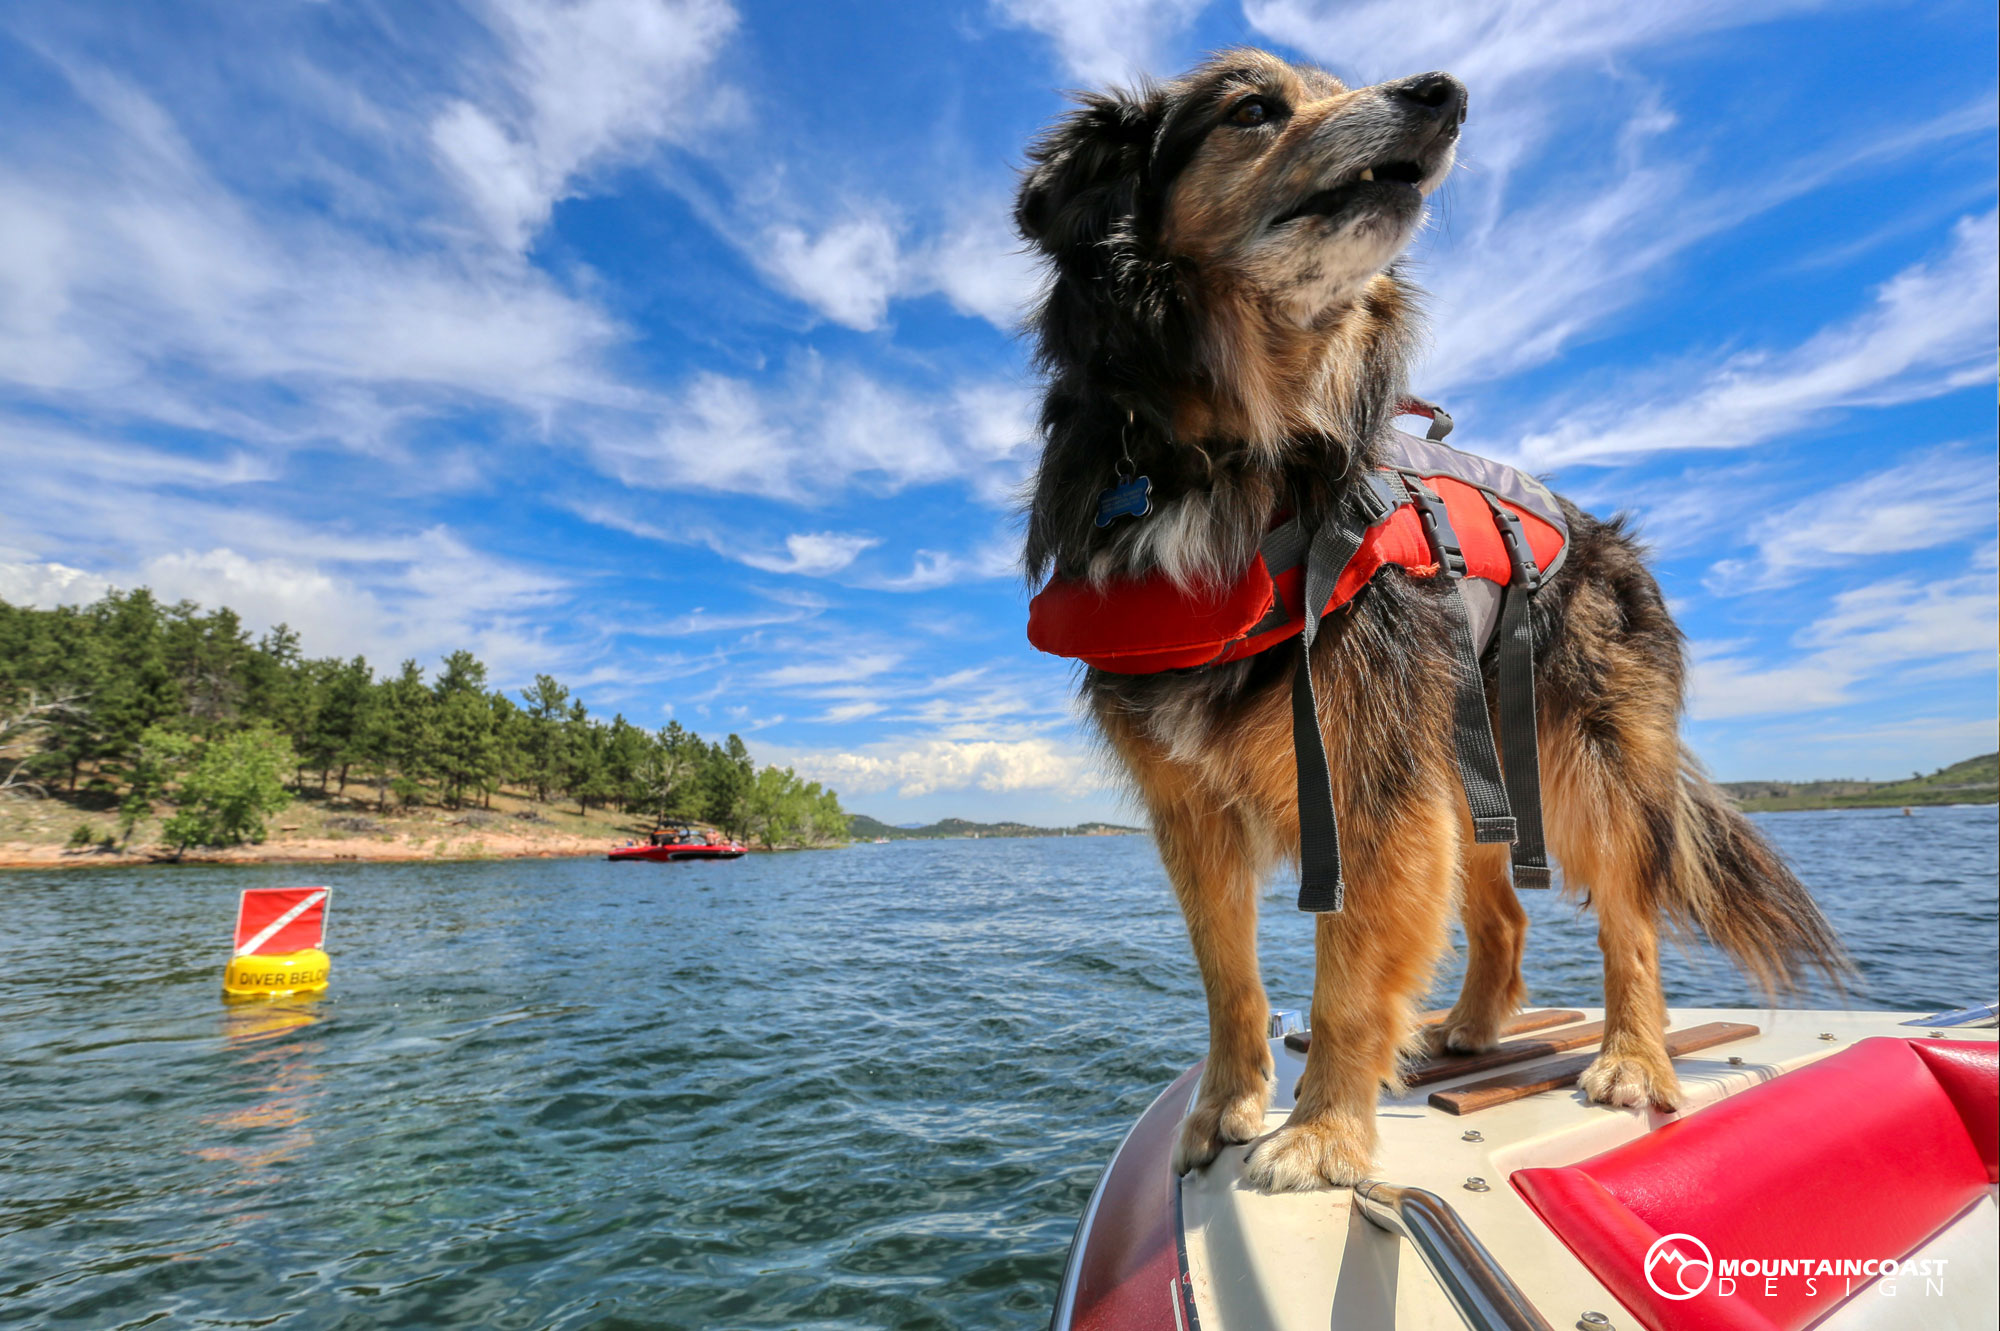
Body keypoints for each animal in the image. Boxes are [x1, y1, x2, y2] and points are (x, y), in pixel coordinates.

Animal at [1016, 54, 1840, 1191]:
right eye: (1252, 108)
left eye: (1330, 83)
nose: (1440, 91)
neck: (1232, 448)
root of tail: (1607, 539)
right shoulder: (1190, 802)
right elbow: (1226, 972)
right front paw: (1225, 1107)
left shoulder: (1369, 775)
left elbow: (1349, 970)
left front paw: (1322, 1133)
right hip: (1477, 770)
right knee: (1502, 914)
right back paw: (1468, 1026)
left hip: (1587, 764)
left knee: (1628, 921)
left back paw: (1632, 1057)